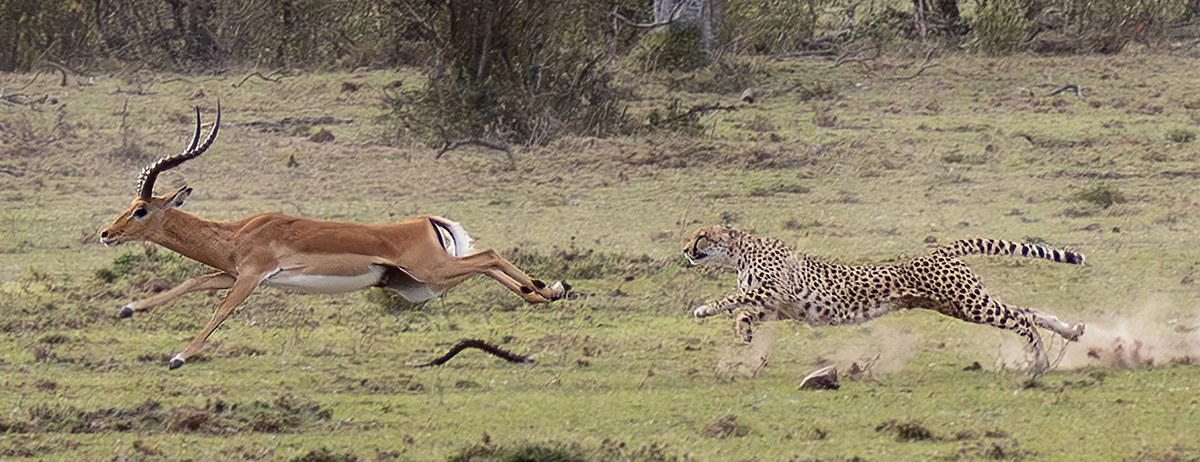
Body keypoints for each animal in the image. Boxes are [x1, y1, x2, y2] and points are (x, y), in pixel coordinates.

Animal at [683, 225, 1087, 374]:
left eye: (701, 236)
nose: (685, 249)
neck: (739, 251)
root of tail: (938, 252)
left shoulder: (771, 290)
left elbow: (732, 296)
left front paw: (702, 308)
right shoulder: (778, 307)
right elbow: (744, 312)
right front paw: (744, 332)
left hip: (968, 303)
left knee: (1021, 319)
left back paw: (1041, 360)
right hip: (958, 304)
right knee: (1025, 311)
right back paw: (1071, 332)